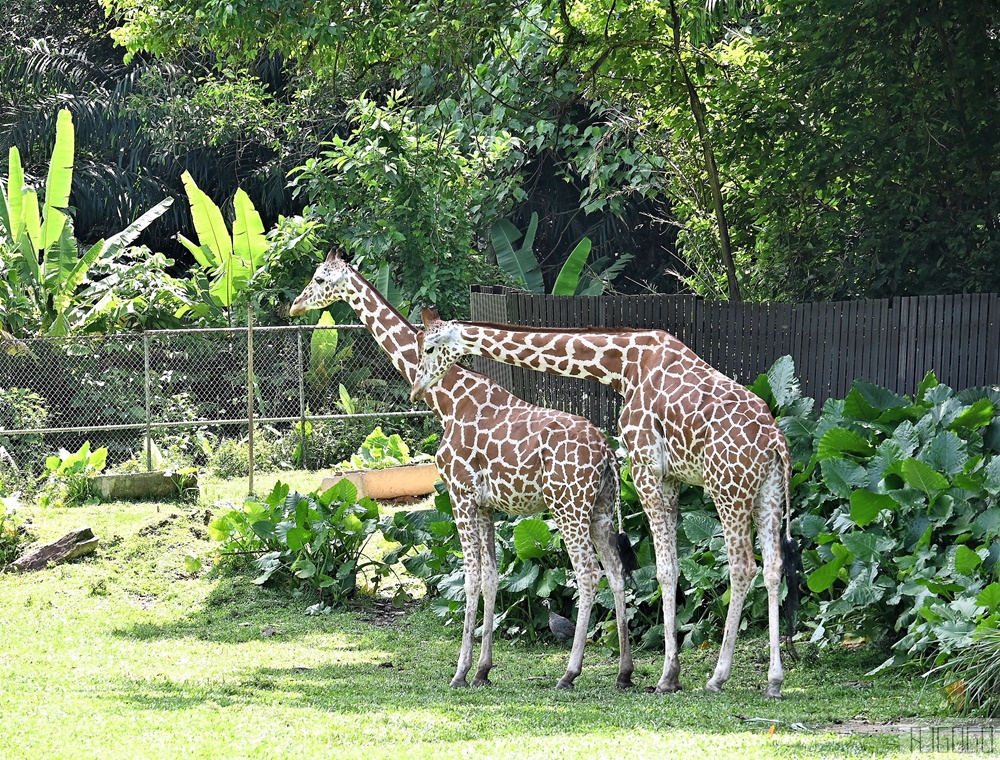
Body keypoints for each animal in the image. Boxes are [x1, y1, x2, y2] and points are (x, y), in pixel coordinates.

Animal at [290, 252, 632, 692]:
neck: (446, 399)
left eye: (318, 278)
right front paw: (483, 669)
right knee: (617, 572)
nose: (295, 306)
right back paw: (624, 671)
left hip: (567, 506)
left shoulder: (459, 494)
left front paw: (460, 671)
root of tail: (608, 454)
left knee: (588, 574)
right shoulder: (485, 504)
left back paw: (570, 673)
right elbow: (491, 577)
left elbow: (468, 577)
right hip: (601, 508)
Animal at [412, 306, 796, 696]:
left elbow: (665, 569)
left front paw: (667, 676)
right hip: (767, 492)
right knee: (772, 566)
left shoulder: (645, 467)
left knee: (742, 565)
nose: (417, 389)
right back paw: (774, 680)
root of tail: (776, 441)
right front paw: (666, 674)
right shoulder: (670, 477)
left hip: (727, 488)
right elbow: (669, 566)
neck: (622, 366)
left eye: (428, 347)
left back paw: (717, 676)